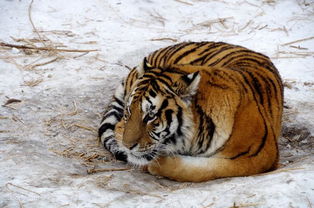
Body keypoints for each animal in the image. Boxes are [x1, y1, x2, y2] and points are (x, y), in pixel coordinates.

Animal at [97, 41, 282, 182]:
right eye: (129, 111)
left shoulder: (257, 156)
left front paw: (156, 164)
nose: (127, 146)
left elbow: (203, 170)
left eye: (151, 116)